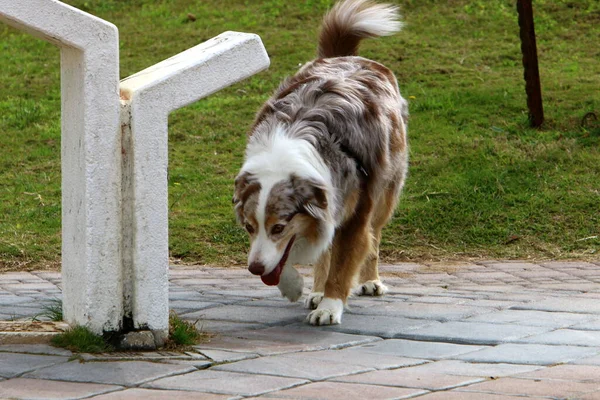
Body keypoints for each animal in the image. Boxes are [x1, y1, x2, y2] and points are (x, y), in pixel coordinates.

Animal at [233, 0, 408, 324]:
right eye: (249, 227)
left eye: (279, 227)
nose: (254, 269)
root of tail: (345, 56)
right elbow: (289, 254)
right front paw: (293, 286)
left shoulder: (355, 212)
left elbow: (345, 260)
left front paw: (330, 305)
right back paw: (316, 290)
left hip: (387, 189)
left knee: (375, 236)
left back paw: (370, 281)